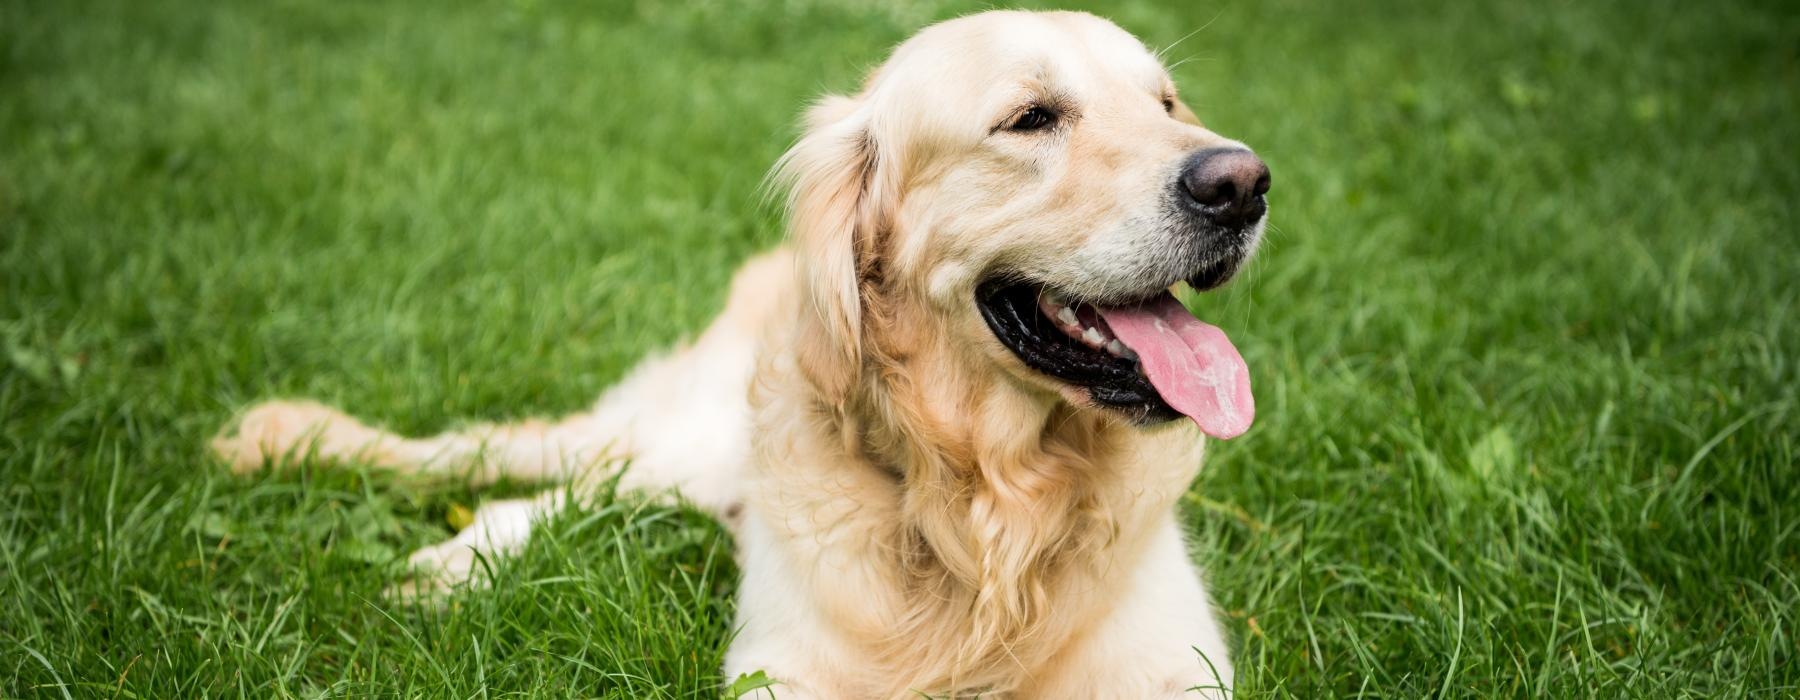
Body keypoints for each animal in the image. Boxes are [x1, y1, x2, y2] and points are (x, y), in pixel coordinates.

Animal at [214, 9, 1267, 691]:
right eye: (1031, 118)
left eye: (1167, 104)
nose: (1244, 184)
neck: (989, 508)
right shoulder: (789, 670)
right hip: (684, 441)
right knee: (519, 474)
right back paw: (398, 532)